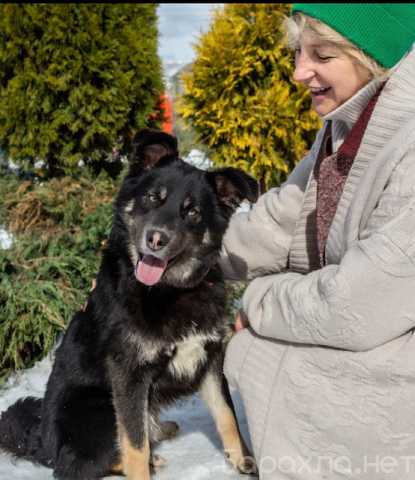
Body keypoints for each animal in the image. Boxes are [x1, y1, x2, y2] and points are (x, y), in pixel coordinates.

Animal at [0, 129, 260, 478]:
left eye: (192, 212)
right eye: (153, 198)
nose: (156, 239)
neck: (168, 292)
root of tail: (44, 444)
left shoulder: (208, 358)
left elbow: (227, 416)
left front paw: (244, 461)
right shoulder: (128, 374)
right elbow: (135, 444)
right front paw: (143, 465)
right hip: (98, 407)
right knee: (80, 463)